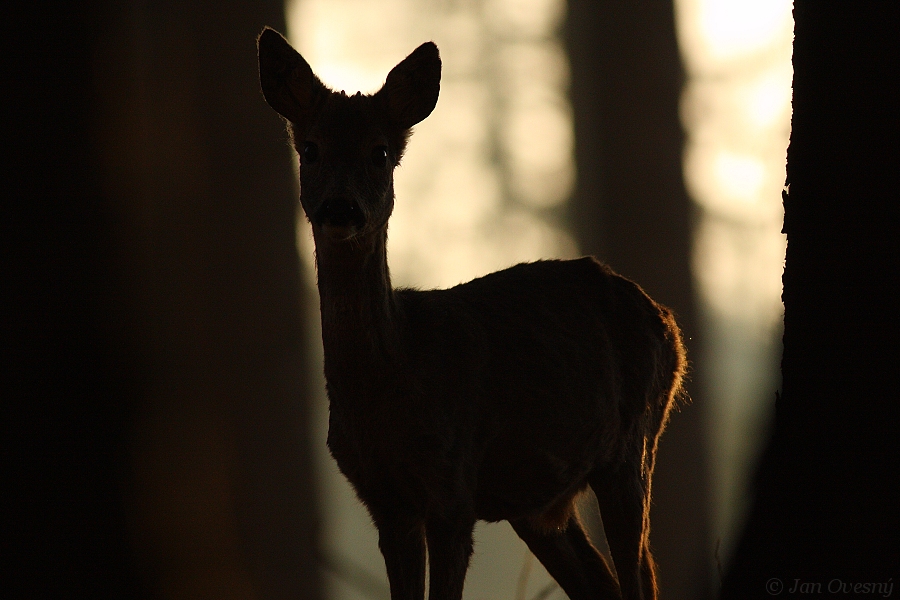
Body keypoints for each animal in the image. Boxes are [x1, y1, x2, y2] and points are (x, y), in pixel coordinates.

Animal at [258, 27, 686, 600]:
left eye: (380, 151)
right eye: (310, 148)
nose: (341, 209)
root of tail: (668, 322)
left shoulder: (453, 488)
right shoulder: (384, 502)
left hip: (633, 443)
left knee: (642, 575)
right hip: (537, 503)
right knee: (603, 582)